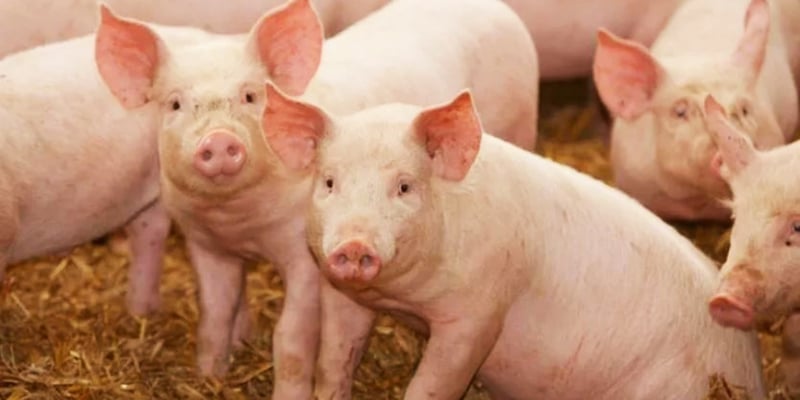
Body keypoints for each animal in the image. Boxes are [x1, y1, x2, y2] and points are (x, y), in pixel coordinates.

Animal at [93, 0, 537, 396]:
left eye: (250, 96)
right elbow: (214, 315)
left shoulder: (305, 255)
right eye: (175, 103)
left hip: (521, 122)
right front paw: (209, 377)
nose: (219, 140)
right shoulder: (205, 244)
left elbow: (290, 337)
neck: (239, 221)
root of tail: (495, 9)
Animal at [262, 83, 766, 400]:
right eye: (329, 182)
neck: (405, 300)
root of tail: (753, 370)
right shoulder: (345, 294)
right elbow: (335, 360)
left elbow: (432, 385)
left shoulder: (478, 314)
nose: (354, 244)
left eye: (404, 186)